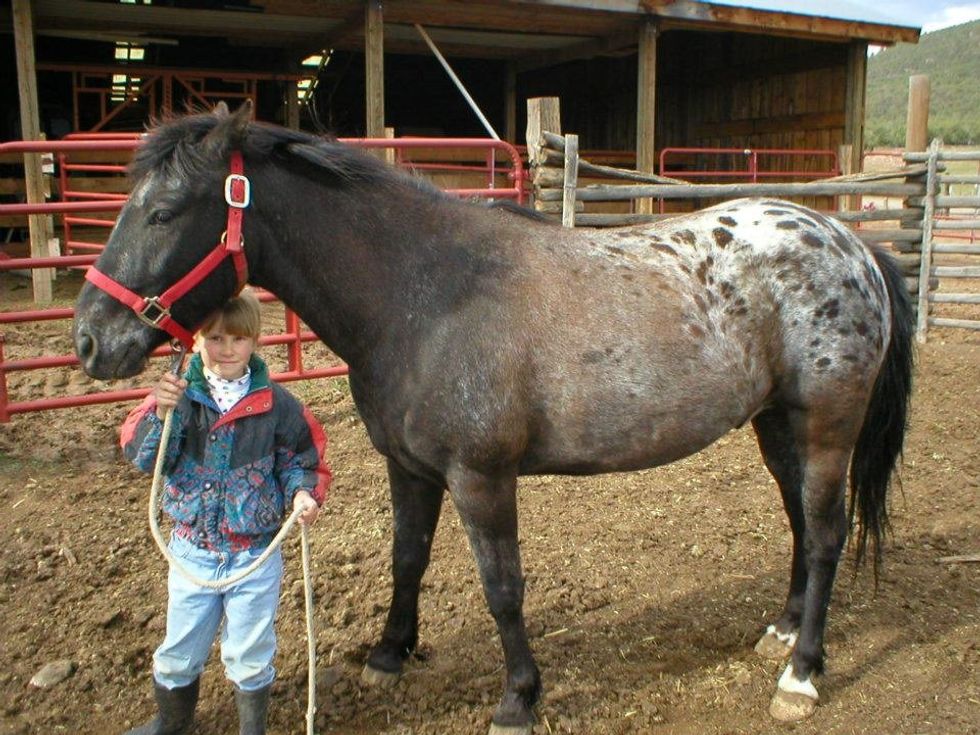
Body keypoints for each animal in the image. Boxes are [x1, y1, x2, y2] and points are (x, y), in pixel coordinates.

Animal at [72, 102, 916, 732]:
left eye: (164, 212)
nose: (89, 339)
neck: (425, 294)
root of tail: (853, 247)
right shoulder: (408, 467)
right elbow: (407, 558)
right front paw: (389, 655)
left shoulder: (481, 477)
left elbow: (502, 586)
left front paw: (518, 698)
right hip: (779, 425)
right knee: (801, 525)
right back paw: (783, 630)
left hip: (826, 426)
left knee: (828, 533)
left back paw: (801, 673)